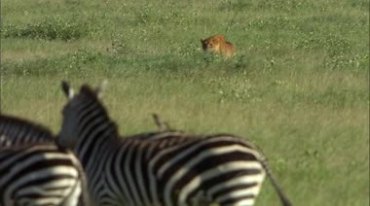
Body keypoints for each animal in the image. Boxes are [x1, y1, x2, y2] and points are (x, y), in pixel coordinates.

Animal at [58, 81, 292, 205]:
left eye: (62, 112)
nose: (59, 141)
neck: (99, 147)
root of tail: (254, 150)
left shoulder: (107, 197)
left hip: (235, 190)